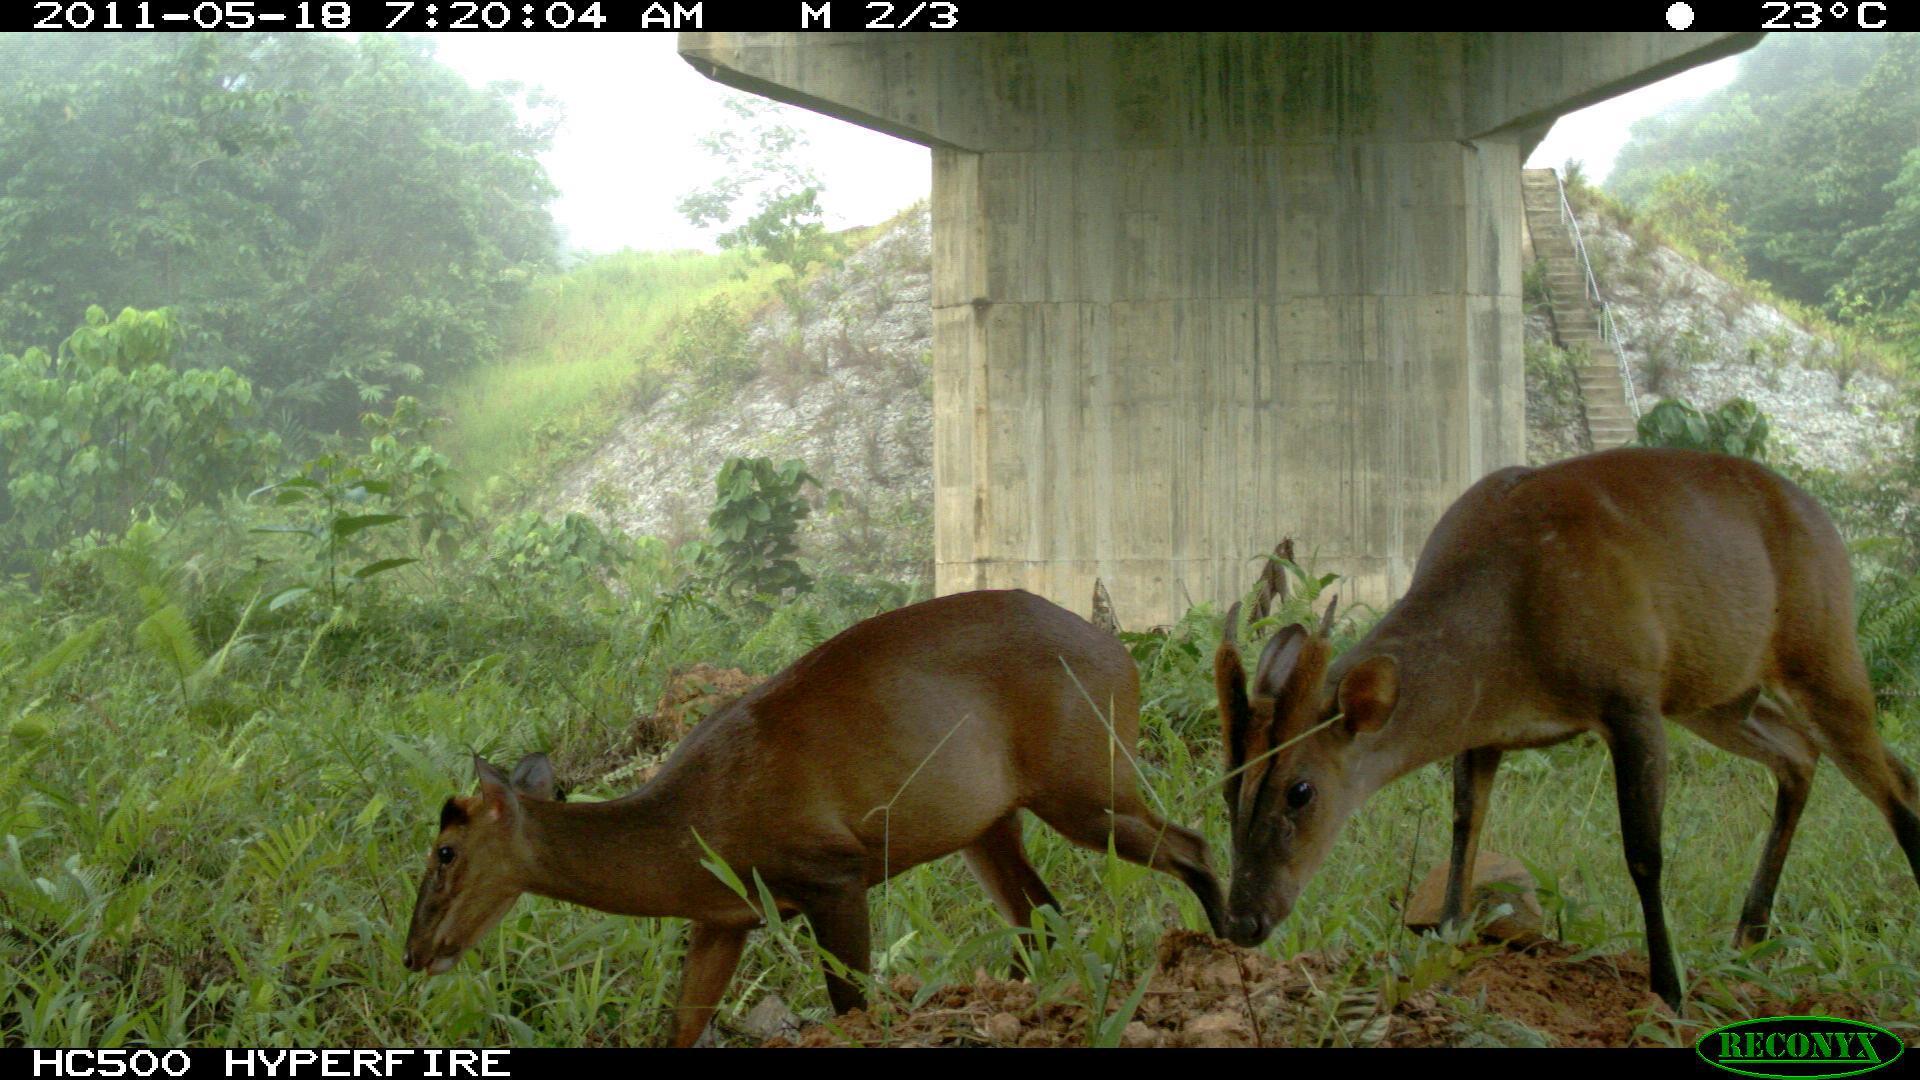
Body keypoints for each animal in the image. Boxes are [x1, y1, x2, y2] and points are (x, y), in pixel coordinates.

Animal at [401, 588, 1228, 1045]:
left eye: (444, 851)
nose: (413, 954)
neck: (683, 827)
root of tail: (1123, 656)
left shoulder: (834, 875)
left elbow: (852, 1006)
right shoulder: (724, 919)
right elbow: (681, 1025)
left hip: (1086, 784)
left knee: (1192, 845)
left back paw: (1230, 949)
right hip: (990, 825)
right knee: (1044, 920)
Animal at [1213, 449, 1920, 1006]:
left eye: (1301, 790)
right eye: (1227, 786)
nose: (1243, 920)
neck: (1509, 627)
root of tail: (1826, 521)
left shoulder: (1630, 696)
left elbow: (1644, 852)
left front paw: (1668, 991)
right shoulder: (1486, 728)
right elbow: (1465, 826)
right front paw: (1445, 946)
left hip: (1821, 647)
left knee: (1896, 783)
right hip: (1719, 694)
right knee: (1800, 756)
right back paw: (1748, 935)